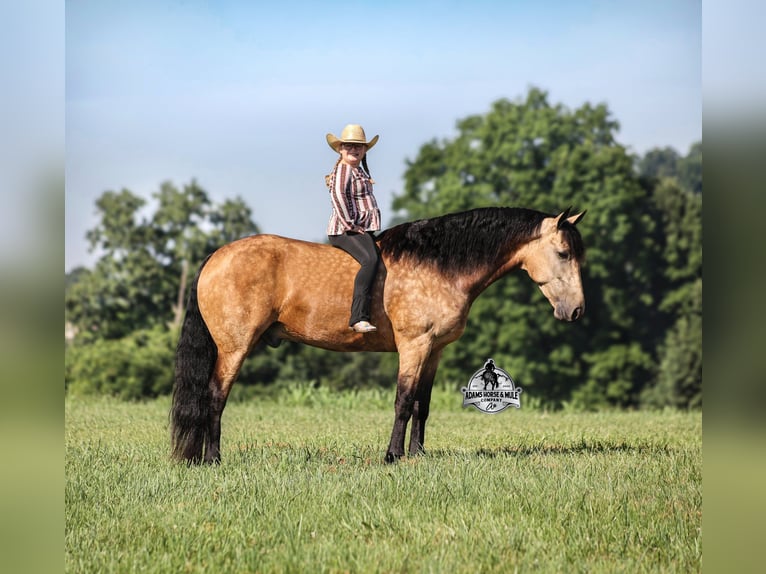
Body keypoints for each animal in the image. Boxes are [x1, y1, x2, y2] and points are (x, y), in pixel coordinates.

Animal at [170, 206, 586, 464]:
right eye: (564, 253)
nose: (577, 311)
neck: (439, 264)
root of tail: (215, 258)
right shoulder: (414, 345)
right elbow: (403, 401)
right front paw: (392, 456)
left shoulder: (433, 351)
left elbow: (422, 405)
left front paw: (417, 454)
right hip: (233, 347)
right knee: (215, 396)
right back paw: (213, 459)